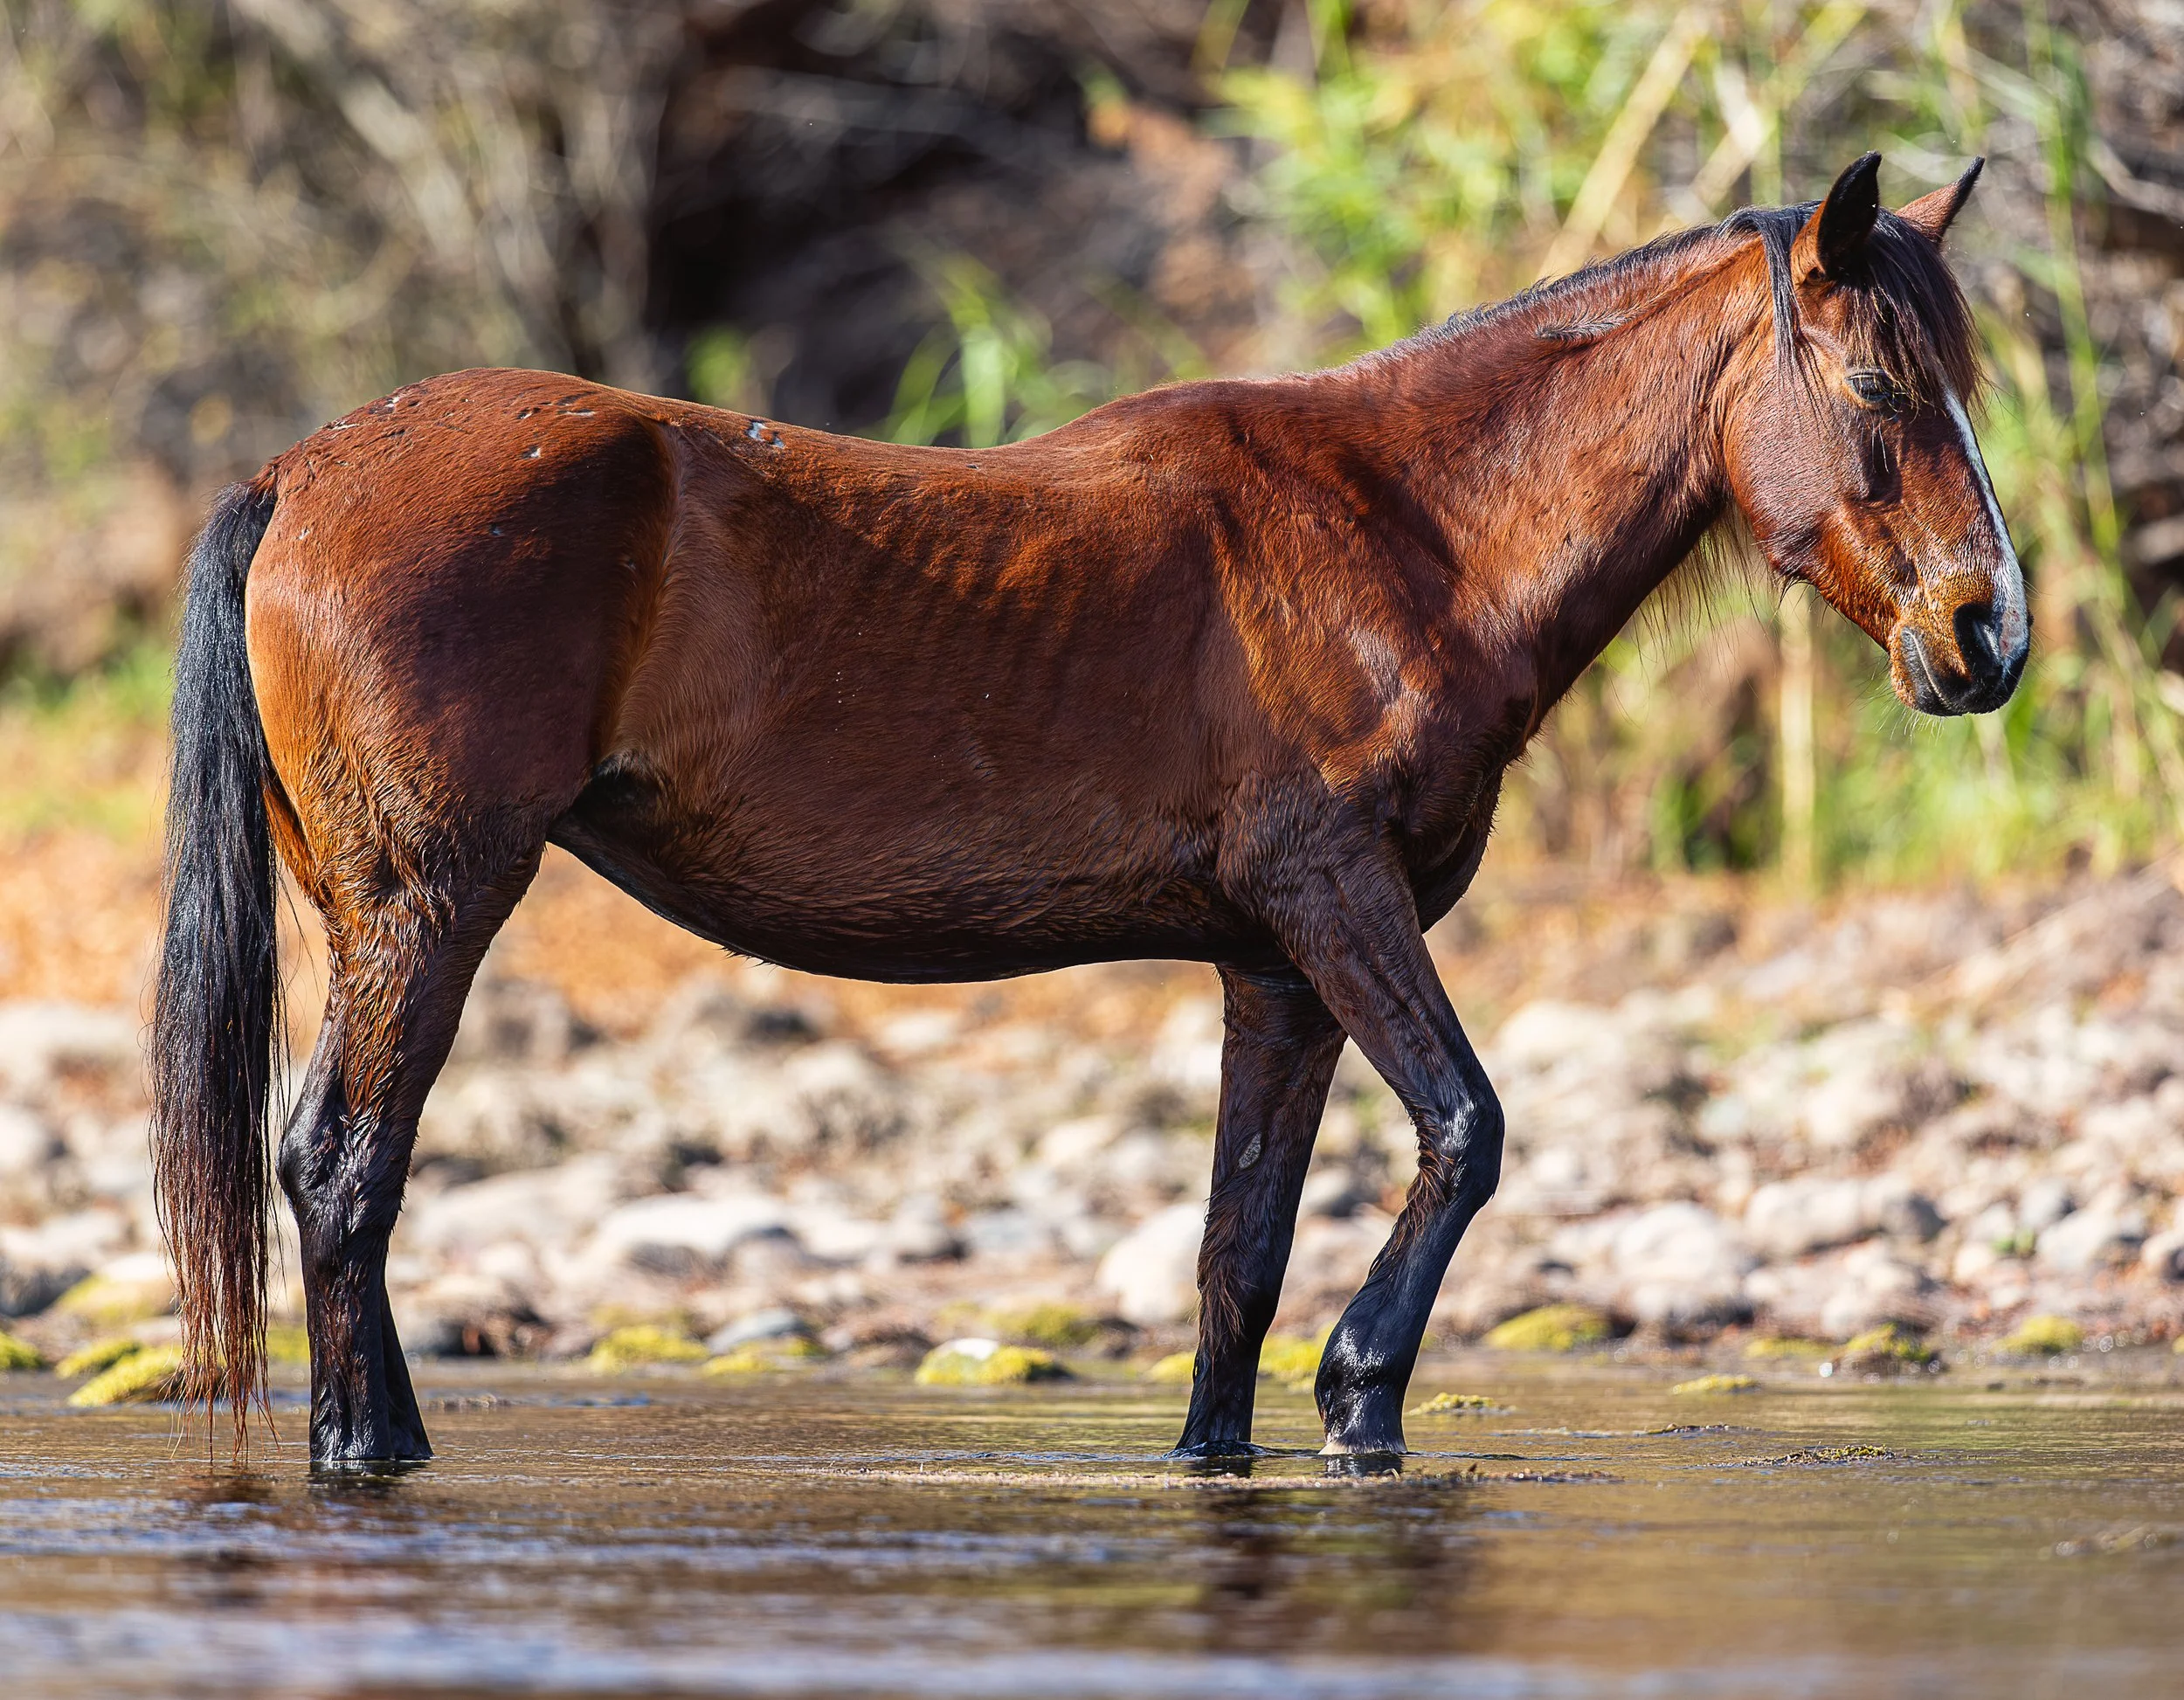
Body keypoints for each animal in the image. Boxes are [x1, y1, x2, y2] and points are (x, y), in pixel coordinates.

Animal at [152, 152, 2024, 1465]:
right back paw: (364, 1453)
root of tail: (300, 472)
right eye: (1878, 389)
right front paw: (1362, 1395)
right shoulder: (1342, 904)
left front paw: (1236, 1441)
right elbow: (1468, 1129)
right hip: (428, 908)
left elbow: (1237, 1253)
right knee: (341, 1169)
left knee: (342, 1172)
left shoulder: (1276, 969)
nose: (1986, 635)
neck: (1407, 528)